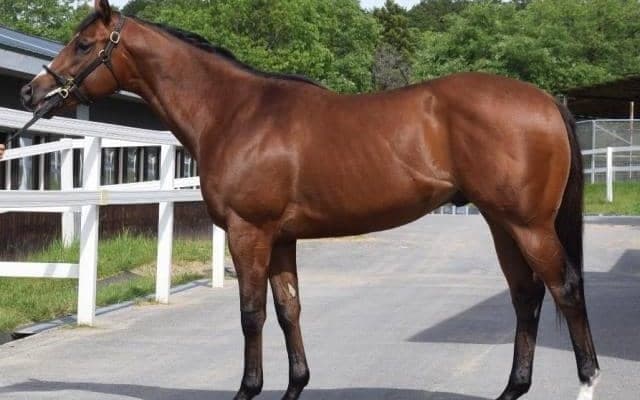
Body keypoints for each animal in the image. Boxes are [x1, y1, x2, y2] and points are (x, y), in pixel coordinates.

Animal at [19, 1, 600, 399]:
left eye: (84, 44)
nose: (30, 93)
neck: (234, 112)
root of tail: (546, 100)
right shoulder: (280, 238)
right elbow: (288, 309)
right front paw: (295, 384)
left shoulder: (248, 232)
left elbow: (251, 313)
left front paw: (248, 389)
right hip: (503, 225)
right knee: (526, 297)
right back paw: (512, 388)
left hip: (528, 225)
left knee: (565, 289)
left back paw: (587, 381)